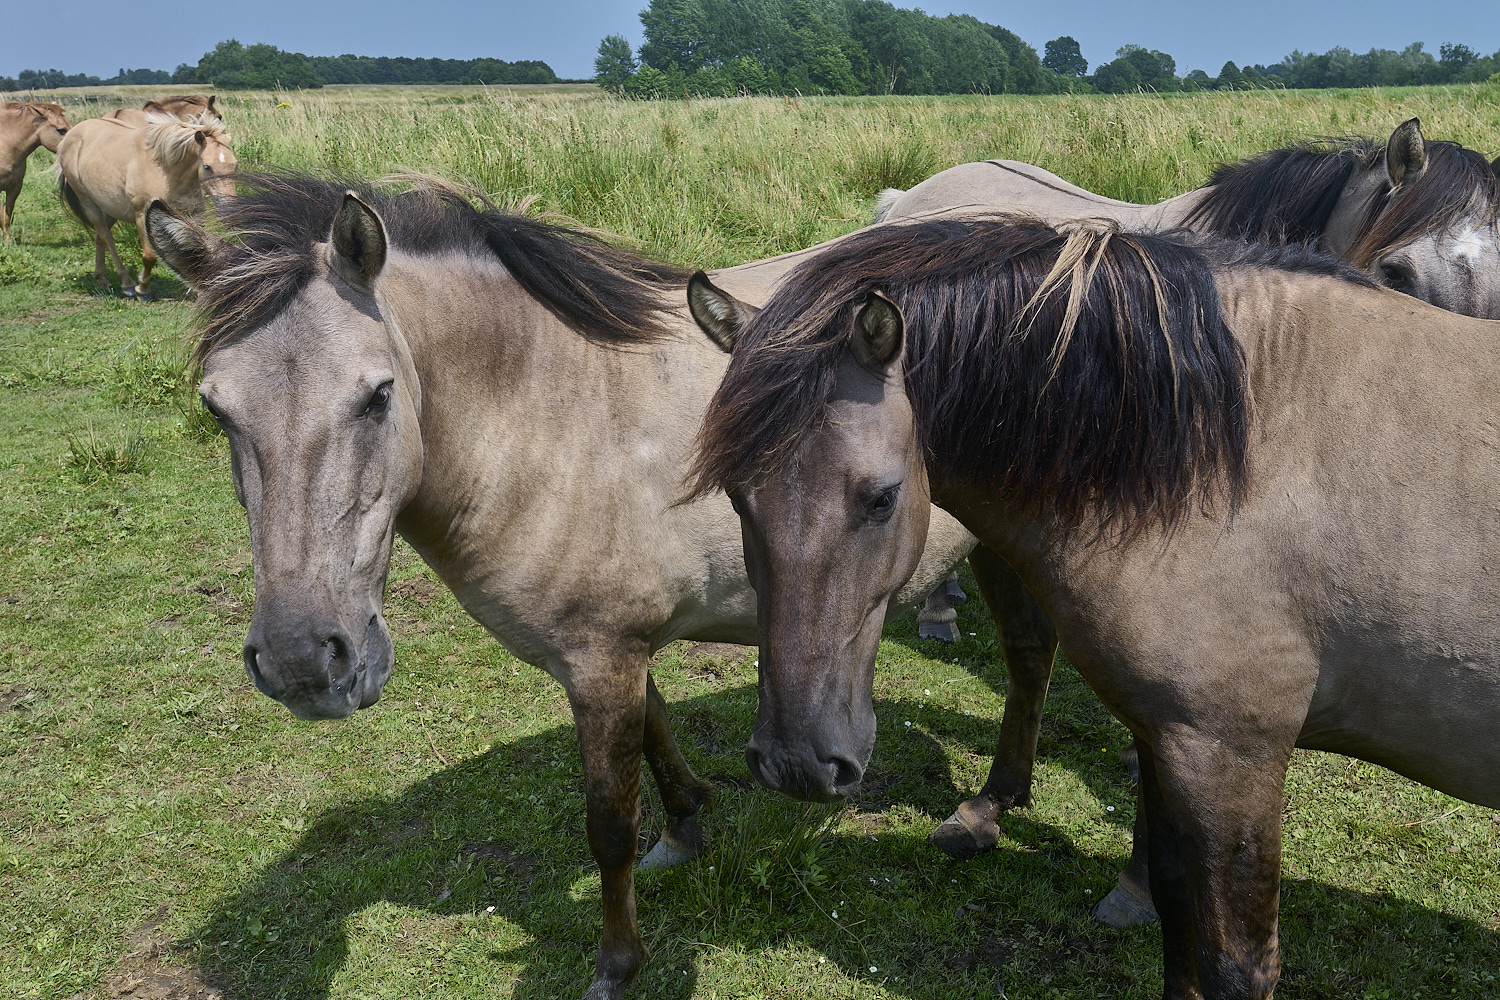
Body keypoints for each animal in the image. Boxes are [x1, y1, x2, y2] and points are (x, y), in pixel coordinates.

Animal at [55, 113, 234, 299]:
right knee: (107, 238)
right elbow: (149, 256)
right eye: (207, 166)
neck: (166, 170)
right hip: (89, 203)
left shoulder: (192, 213)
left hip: (108, 207)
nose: (229, 208)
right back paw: (126, 283)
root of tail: (69, 137)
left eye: (234, 164)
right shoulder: (141, 214)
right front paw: (143, 289)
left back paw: (102, 279)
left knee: (100, 237)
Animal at [143, 176, 984, 1000]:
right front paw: (685, 826)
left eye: (377, 395)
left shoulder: (600, 661)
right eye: (216, 408)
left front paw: (617, 964)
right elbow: (656, 733)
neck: (556, 426)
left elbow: (608, 824)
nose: (303, 664)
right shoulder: (616, 655)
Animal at [687, 218, 1500, 1000]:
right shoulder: (1170, 739)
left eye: (881, 499)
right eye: (736, 497)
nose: (795, 763)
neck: (1221, 459)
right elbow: (1178, 930)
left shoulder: (1232, 755)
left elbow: (1235, 965)